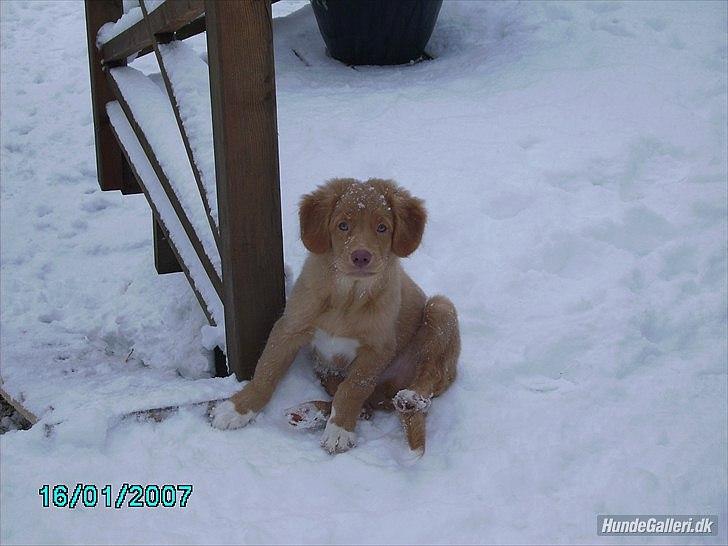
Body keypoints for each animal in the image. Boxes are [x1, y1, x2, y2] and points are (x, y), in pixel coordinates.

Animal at [212, 176, 460, 452]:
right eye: (343, 225)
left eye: (382, 228)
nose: (361, 256)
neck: (347, 298)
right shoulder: (289, 328)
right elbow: (266, 371)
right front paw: (237, 408)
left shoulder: (377, 349)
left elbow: (352, 388)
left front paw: (340, 429)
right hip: (324, 367)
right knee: (366, 403)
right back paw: (310, 412)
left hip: (440, 309)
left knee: (429, 376)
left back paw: (410, 399)